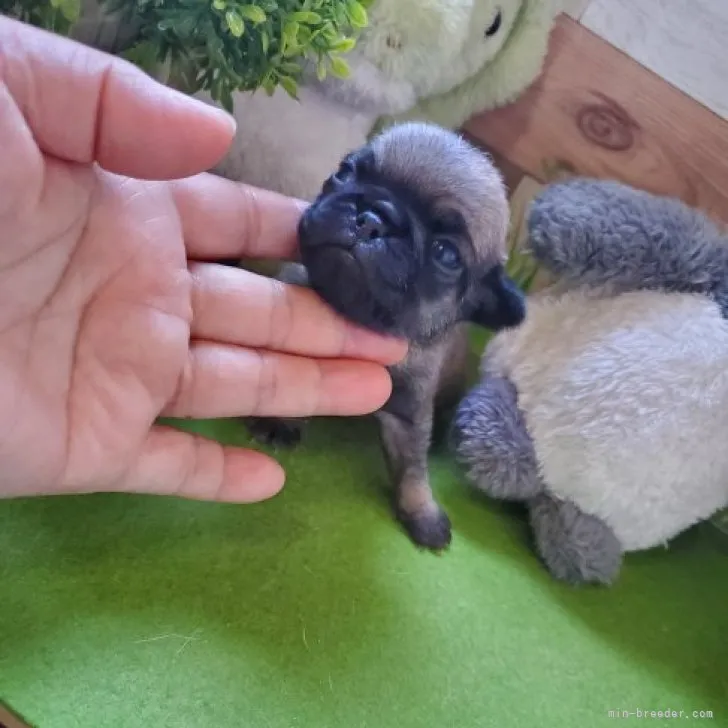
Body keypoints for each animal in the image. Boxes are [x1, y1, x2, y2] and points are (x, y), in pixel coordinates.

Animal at [247, 122, 528, 548]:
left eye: (446, 253)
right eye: (345, 172)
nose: (371, 218)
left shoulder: (408, 414)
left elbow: (412, 468)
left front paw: (421, 511)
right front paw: (281, 421)